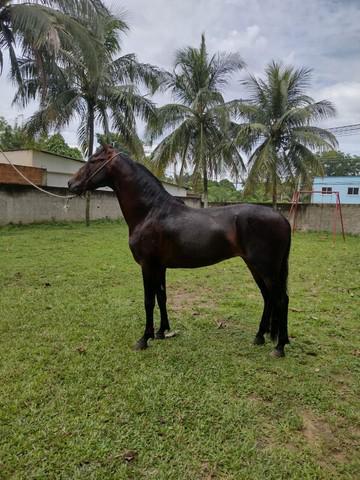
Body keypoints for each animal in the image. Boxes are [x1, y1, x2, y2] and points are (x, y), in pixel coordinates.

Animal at [68, 144, 292, 358]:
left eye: (93, 160)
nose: (71, 184)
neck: (150, 212)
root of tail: (282, 218)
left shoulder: (147, 265)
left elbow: (148, 301)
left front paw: (144, 339)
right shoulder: (159, 266)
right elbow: (161, 297)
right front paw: (161, 332)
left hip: (266, 268)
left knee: (281, 299)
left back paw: (279, 347)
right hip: (255, 267)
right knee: (268, 297)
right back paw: (260, 337)